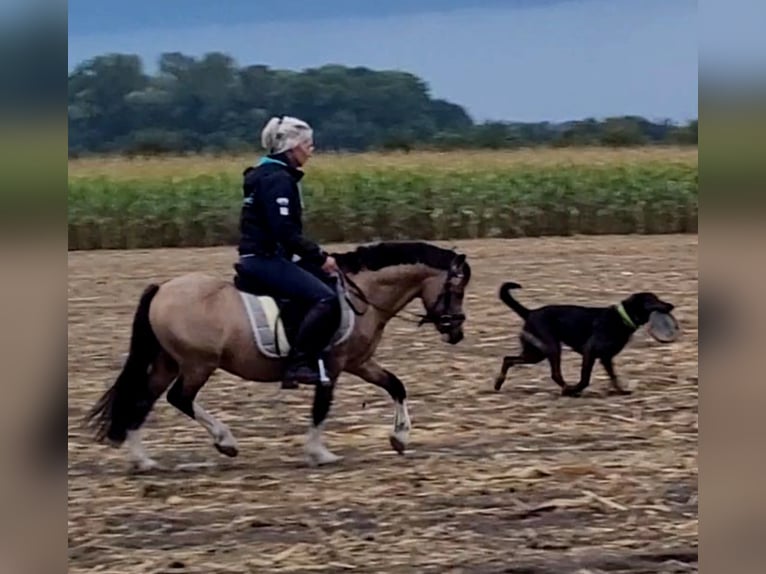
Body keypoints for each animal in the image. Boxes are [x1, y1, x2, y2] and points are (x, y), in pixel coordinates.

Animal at [496, 282, 676, 398]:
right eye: (653, 299)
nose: (671, 305)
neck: (622, 318)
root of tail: (530, 312)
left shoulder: (606, 358)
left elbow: (614, 377)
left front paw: (621, 391)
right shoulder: (590, 352)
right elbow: (585, 379)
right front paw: (576, 389)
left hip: (536, 353)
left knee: (508, 359)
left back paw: (498, 383)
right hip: (551, 348)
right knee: (555, 374)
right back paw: (568, 390)